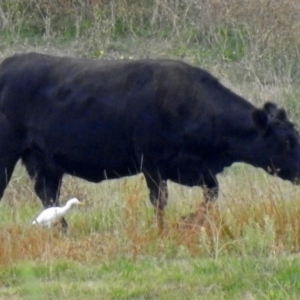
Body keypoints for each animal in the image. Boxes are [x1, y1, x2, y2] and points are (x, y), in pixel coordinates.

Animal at [0, 52, 300, 230]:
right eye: (286, 142)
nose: (299, 172)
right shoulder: (152, 165)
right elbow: (160, 200)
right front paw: (162, 229)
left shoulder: (190, 168)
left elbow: (212, 192)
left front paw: (189, 221)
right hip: (8, 155)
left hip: (44, 162)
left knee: (48, 194)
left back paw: (62, 230)